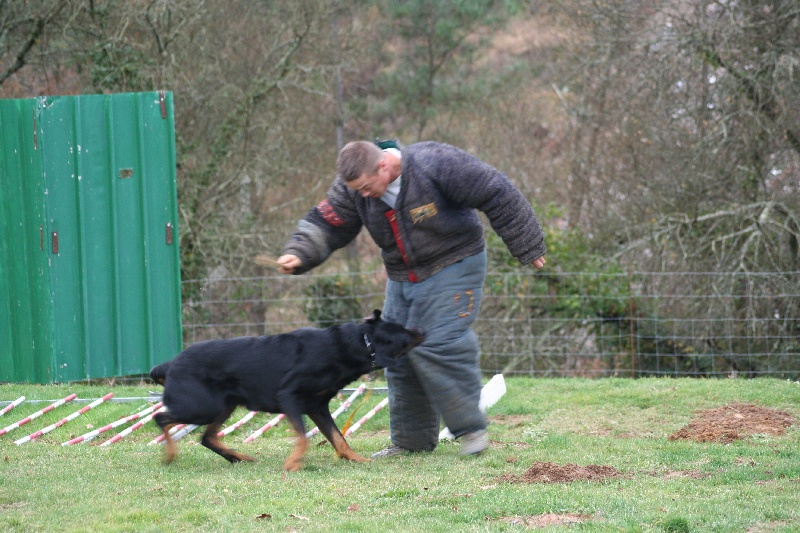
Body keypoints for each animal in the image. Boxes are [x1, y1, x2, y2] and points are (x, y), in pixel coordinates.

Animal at [150, 310, 424, 471]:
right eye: (403, 333)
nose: (421, 330)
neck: (357, 344)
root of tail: (170, 364)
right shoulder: (289, 396)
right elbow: (303, 437)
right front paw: (293, 463)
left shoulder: (317, 407)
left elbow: (338, 438)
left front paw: (356, 459)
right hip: (202, 407)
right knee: (160, 417)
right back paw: (170, 455)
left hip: (224, 406)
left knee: (206, 437)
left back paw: (238, 458)